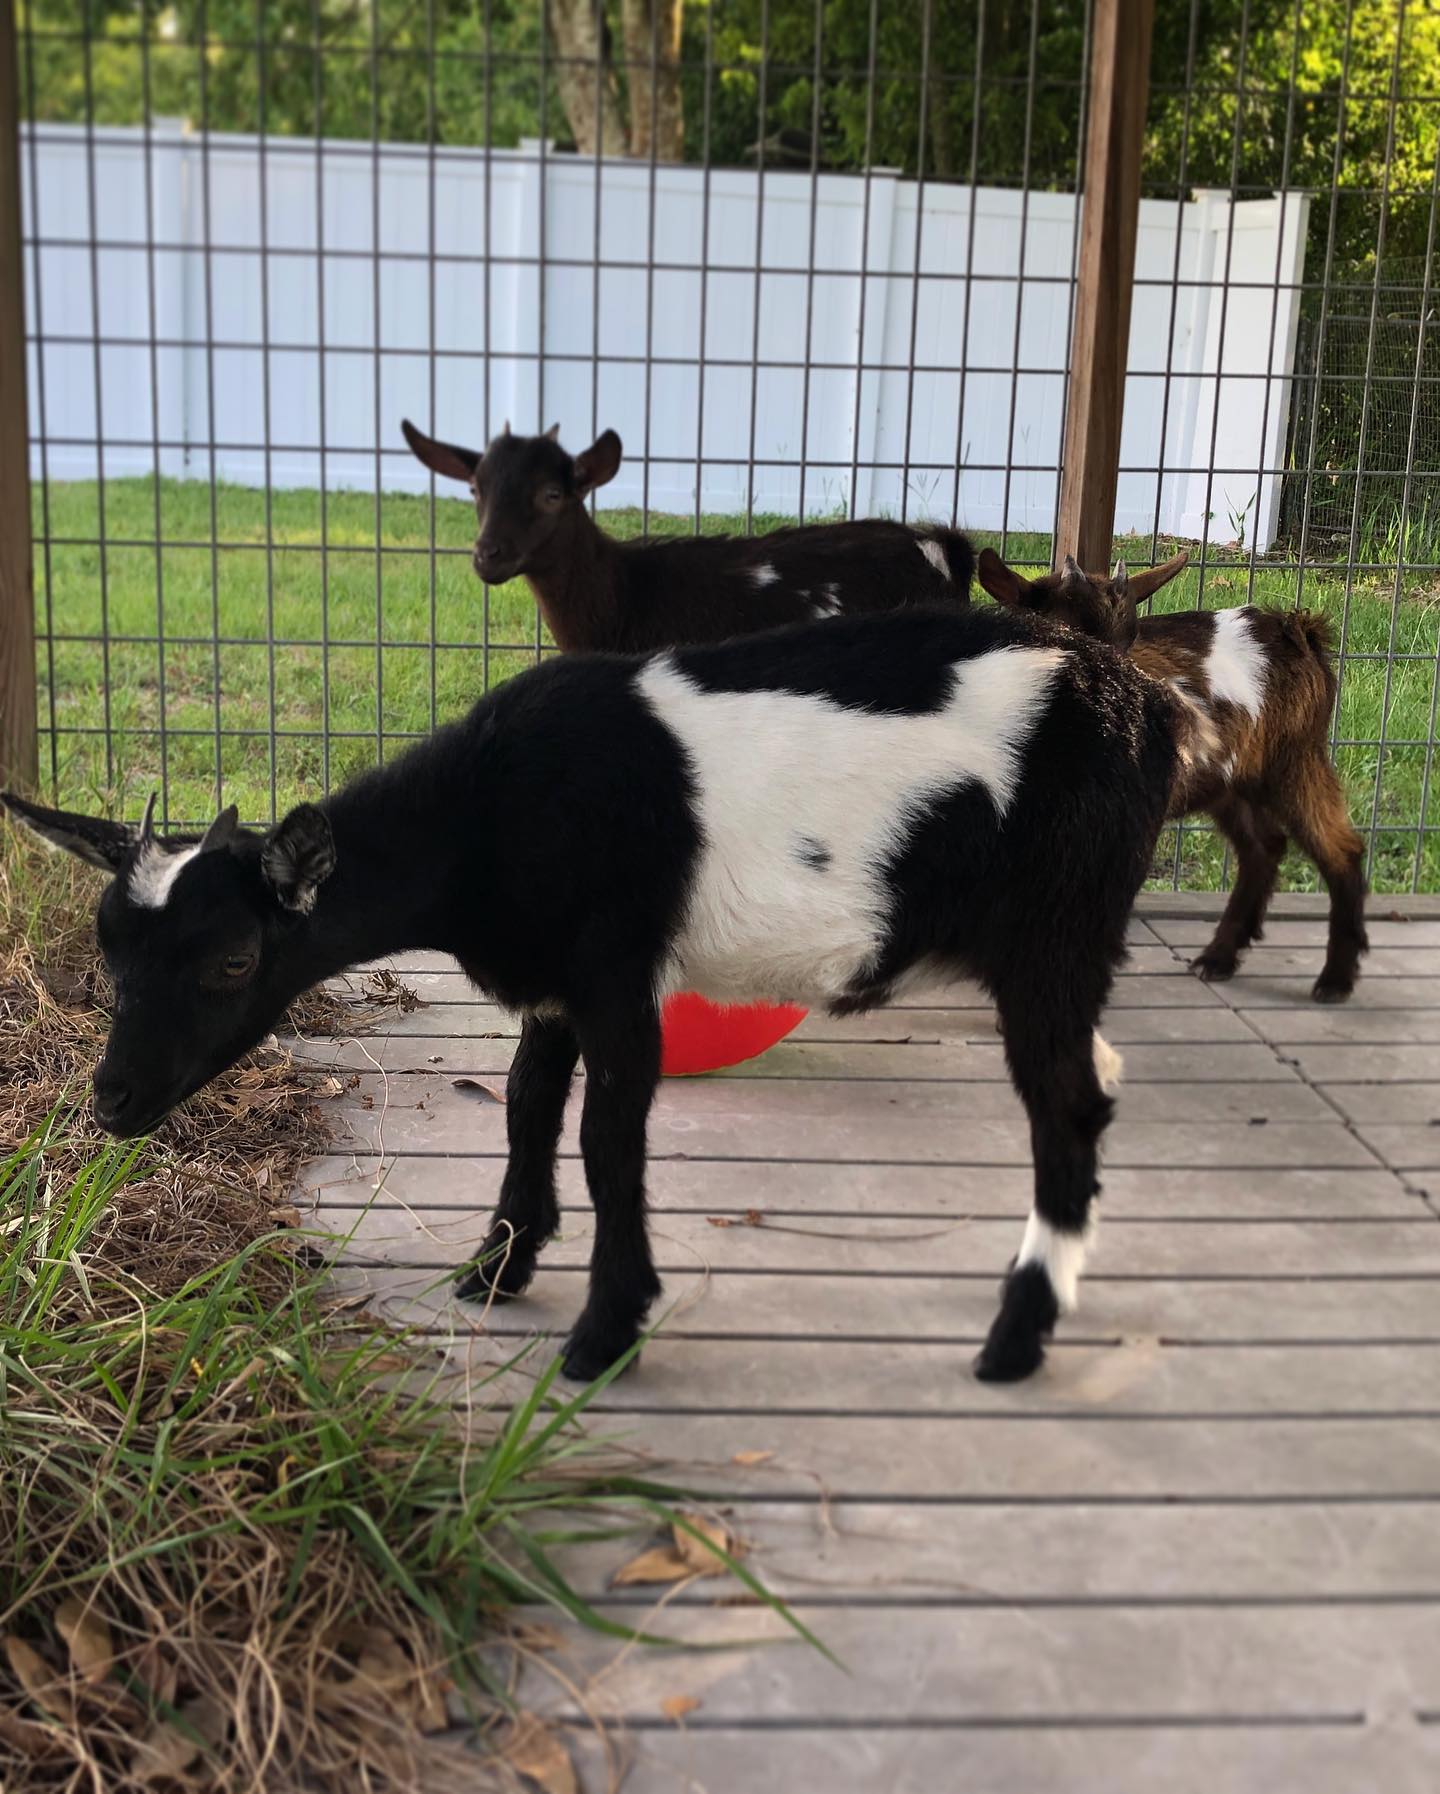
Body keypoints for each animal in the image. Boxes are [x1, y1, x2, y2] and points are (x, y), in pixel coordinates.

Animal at [4, 604, 1179, 1386]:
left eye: (235, 962)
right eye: (110, 952)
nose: (113, 1100)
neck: (490, 815)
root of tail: (1147, 704)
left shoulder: (616, 968)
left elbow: (610, 1138)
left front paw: (605, 1330)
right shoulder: (553, 981)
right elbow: (527, 1103)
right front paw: (500, 1264)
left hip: (1055, 932)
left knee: (1066, 1105)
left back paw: (1015, 1337)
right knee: (1096, 1086)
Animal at [975, 548, 1368, 1001]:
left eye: (1130, 638)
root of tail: (1296, 629)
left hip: (1294, 759)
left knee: (1341, 849)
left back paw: (1335, 979)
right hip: (1231, 784)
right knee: (1263, 846)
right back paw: (1219, 958)